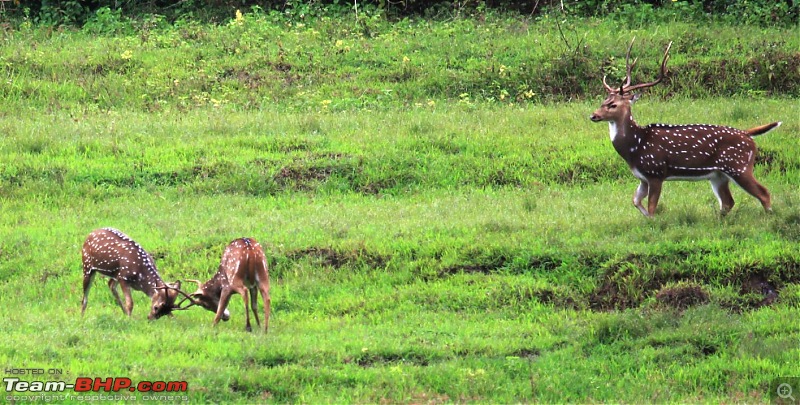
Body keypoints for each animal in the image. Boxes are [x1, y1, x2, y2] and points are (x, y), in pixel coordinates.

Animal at [588, 40, 780, 218]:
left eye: (613, 105)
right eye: (603, 101)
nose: (593, 116)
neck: (635, 146)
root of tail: (748, 134)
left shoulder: (656, 171)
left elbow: (652, 207)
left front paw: (654, 223)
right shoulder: (643, 177)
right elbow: (635, 201)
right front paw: (648, 221)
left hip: (739, 166)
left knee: (764, 193)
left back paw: (769, 218)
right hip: (718, 175)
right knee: (728, 202)